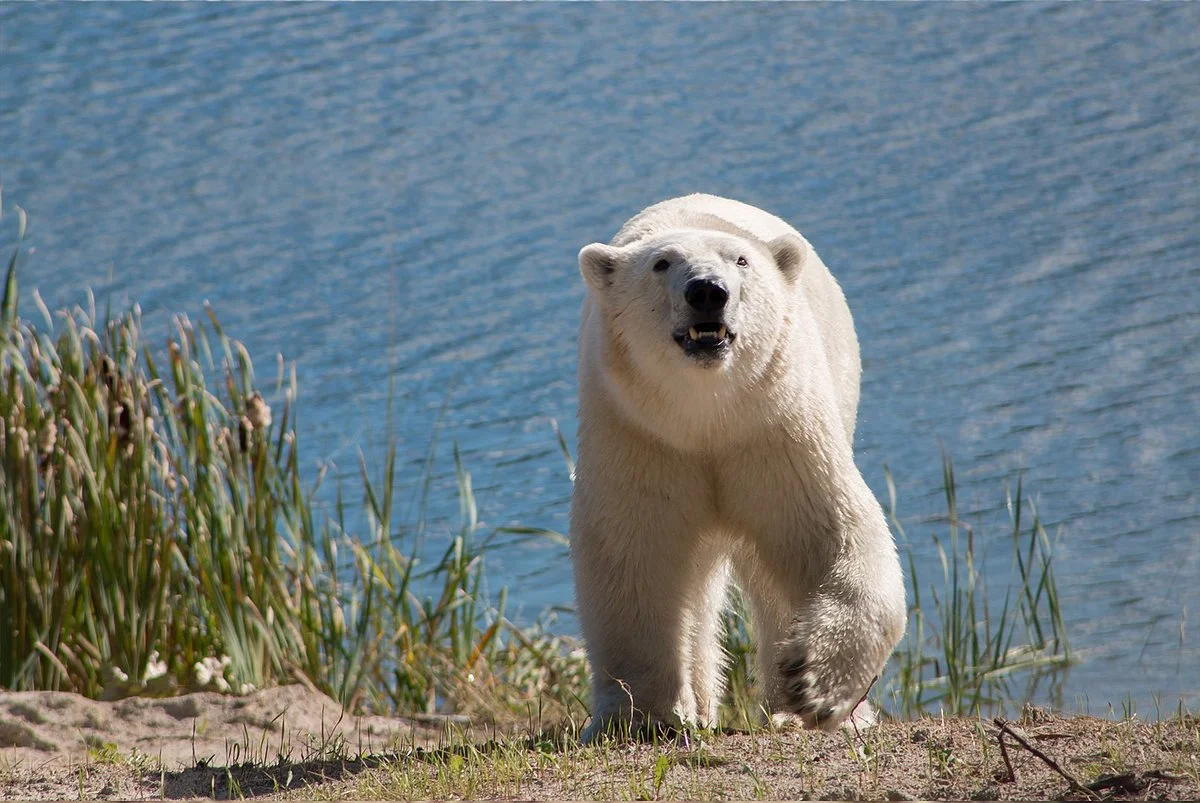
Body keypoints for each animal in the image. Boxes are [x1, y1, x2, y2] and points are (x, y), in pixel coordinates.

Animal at [570, 193, 906, 741]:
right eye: (661, 263)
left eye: (741, 260)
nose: (708, 291)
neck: (707, 416)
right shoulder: (641, 434)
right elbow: (631, 554)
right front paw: (640, 716)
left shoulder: (773, 428)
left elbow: (832, 533)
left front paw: (813, 683)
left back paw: (798, 707)